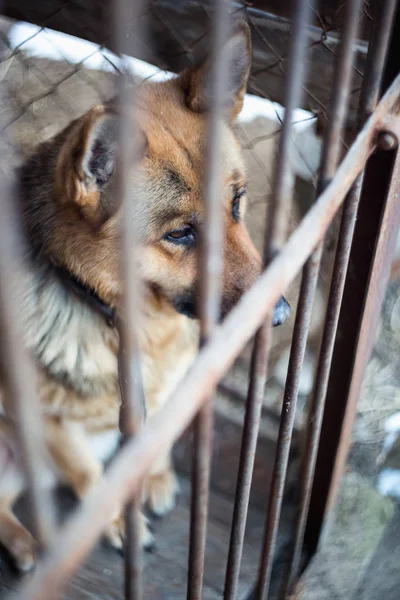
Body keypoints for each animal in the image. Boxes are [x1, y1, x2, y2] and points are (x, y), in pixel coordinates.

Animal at [0, 21, 290, 568]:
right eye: (180, 235)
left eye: (237, 202)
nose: (281, 312)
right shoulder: (47, 425)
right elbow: (90, 477)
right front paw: (119, 522)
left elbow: (156, 441)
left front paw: (154, 478)